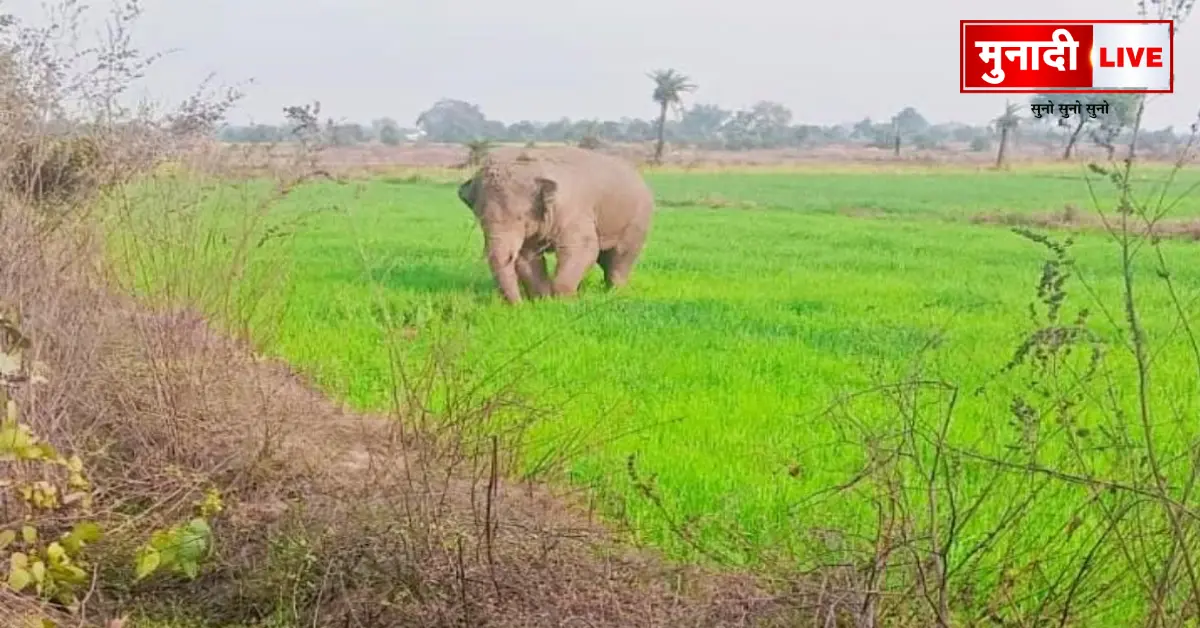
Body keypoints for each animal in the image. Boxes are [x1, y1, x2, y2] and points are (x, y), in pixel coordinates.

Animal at [456, 146, 655, 304]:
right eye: (481, 220)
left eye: (520, 218)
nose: (518, 306)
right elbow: (527, 257)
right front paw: (542, 300)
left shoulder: (573, 211)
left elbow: (584, 249)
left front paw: (563, 301)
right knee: (605, 258)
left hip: (637, 220)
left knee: (620, 256)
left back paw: (614, 293)